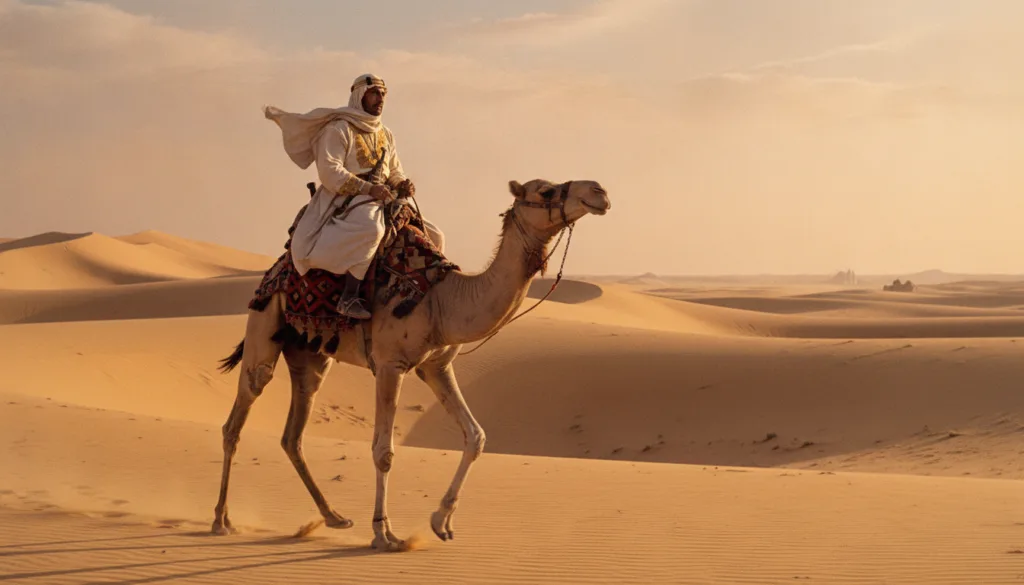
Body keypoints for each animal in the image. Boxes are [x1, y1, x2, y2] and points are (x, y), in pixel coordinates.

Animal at [211, 178, 611, 551]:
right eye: (546, 191)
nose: (599, 192)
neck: (444, 300)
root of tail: (274, 270)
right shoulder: (391, 364)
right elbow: (383, 451)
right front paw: (384, 534)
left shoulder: (436, 367)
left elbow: (476, 436)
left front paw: (441, 522)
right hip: (264, 326)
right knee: (238, 418)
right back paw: (221, 521)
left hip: (310, 355)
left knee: (293, 435)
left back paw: (334, 517)